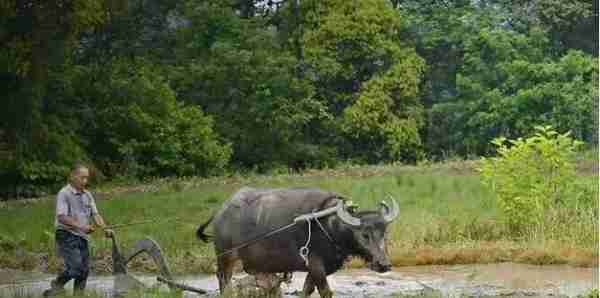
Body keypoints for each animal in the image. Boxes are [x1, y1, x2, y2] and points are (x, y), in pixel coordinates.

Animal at [197, 187, 400, 296]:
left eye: (384, 233)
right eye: (364, 235)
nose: (383, 264)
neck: (329, 226)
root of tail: (220, 211)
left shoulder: (316, 270)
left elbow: (306, 290)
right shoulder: (316, 266)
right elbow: (325, 292)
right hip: (225, 257)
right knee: (224, 282)